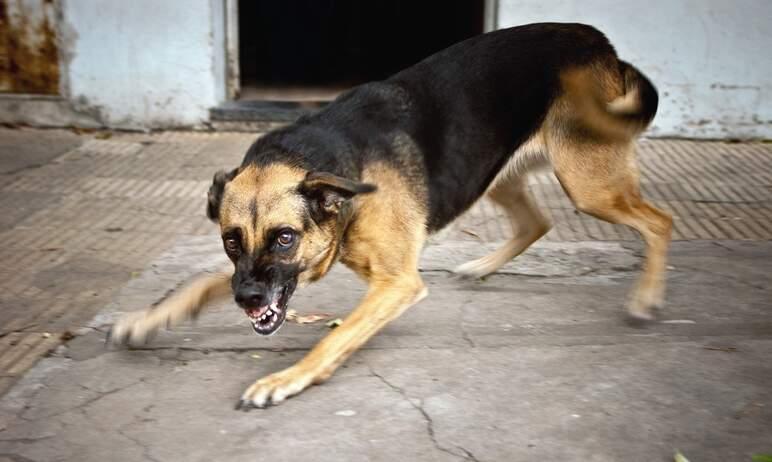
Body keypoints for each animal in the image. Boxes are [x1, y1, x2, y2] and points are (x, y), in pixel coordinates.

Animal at [108, 23, 668, 410]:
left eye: (284, 237)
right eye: (230, 240)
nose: (246, 301)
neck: (338, 175)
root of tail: (599, 41)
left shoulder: (396, 284)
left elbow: (334, 336)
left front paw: (284, 380)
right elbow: (202, 282)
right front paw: (149, 318)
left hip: (590, 187)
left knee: (659, 222)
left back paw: (645, 298)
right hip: (494, 174)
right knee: (538, 223)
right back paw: (481, 267)